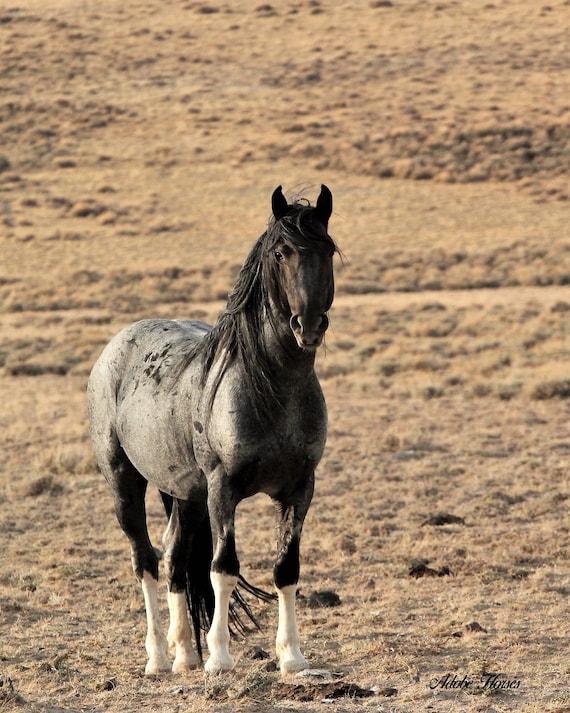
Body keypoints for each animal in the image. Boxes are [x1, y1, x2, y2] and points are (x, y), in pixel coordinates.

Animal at [87, 185, 336, 676]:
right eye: (280, 252)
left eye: (329, 250)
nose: (309, 325)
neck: (272, 388)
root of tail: (117, 345)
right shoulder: (223, 488)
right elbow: (223, 568)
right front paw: (219, 658)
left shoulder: (301, 488)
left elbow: (286, 569)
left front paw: (292, 656)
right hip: (125, 482)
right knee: (144, 559)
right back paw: (158, 658)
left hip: (185, 495)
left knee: (174, 557)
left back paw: (184, 654)